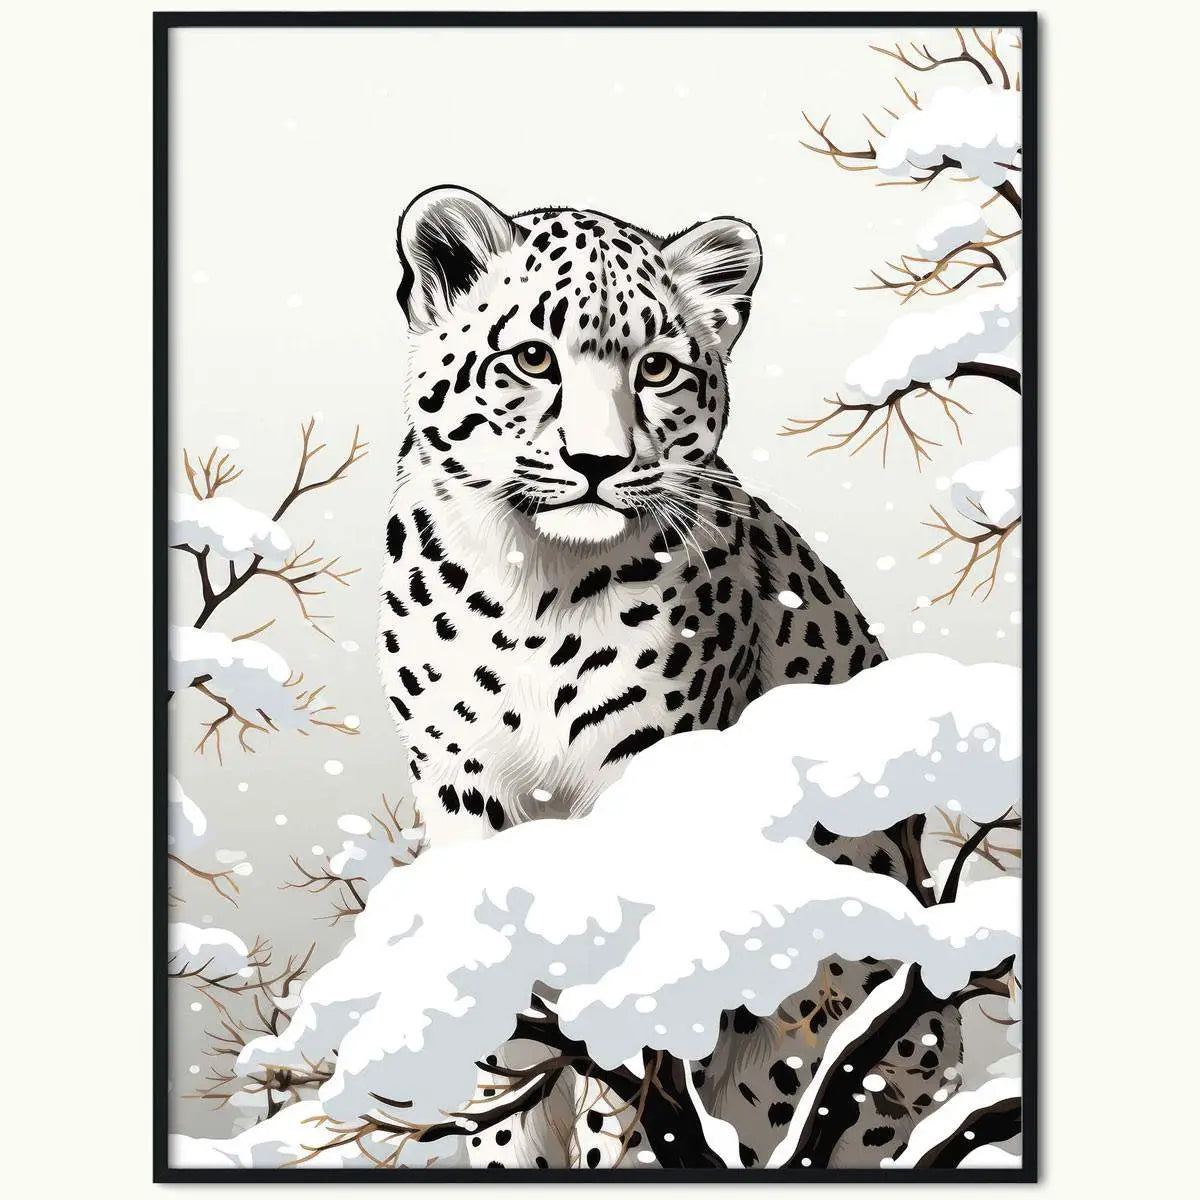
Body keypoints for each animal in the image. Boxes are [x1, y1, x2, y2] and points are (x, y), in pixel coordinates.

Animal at [379, 186, 959, 1170]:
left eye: (655, 368)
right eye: (532, 357)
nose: (598, 463)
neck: (534, 589)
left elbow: (636, 1047)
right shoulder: (465, 794)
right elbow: (510, 1048)